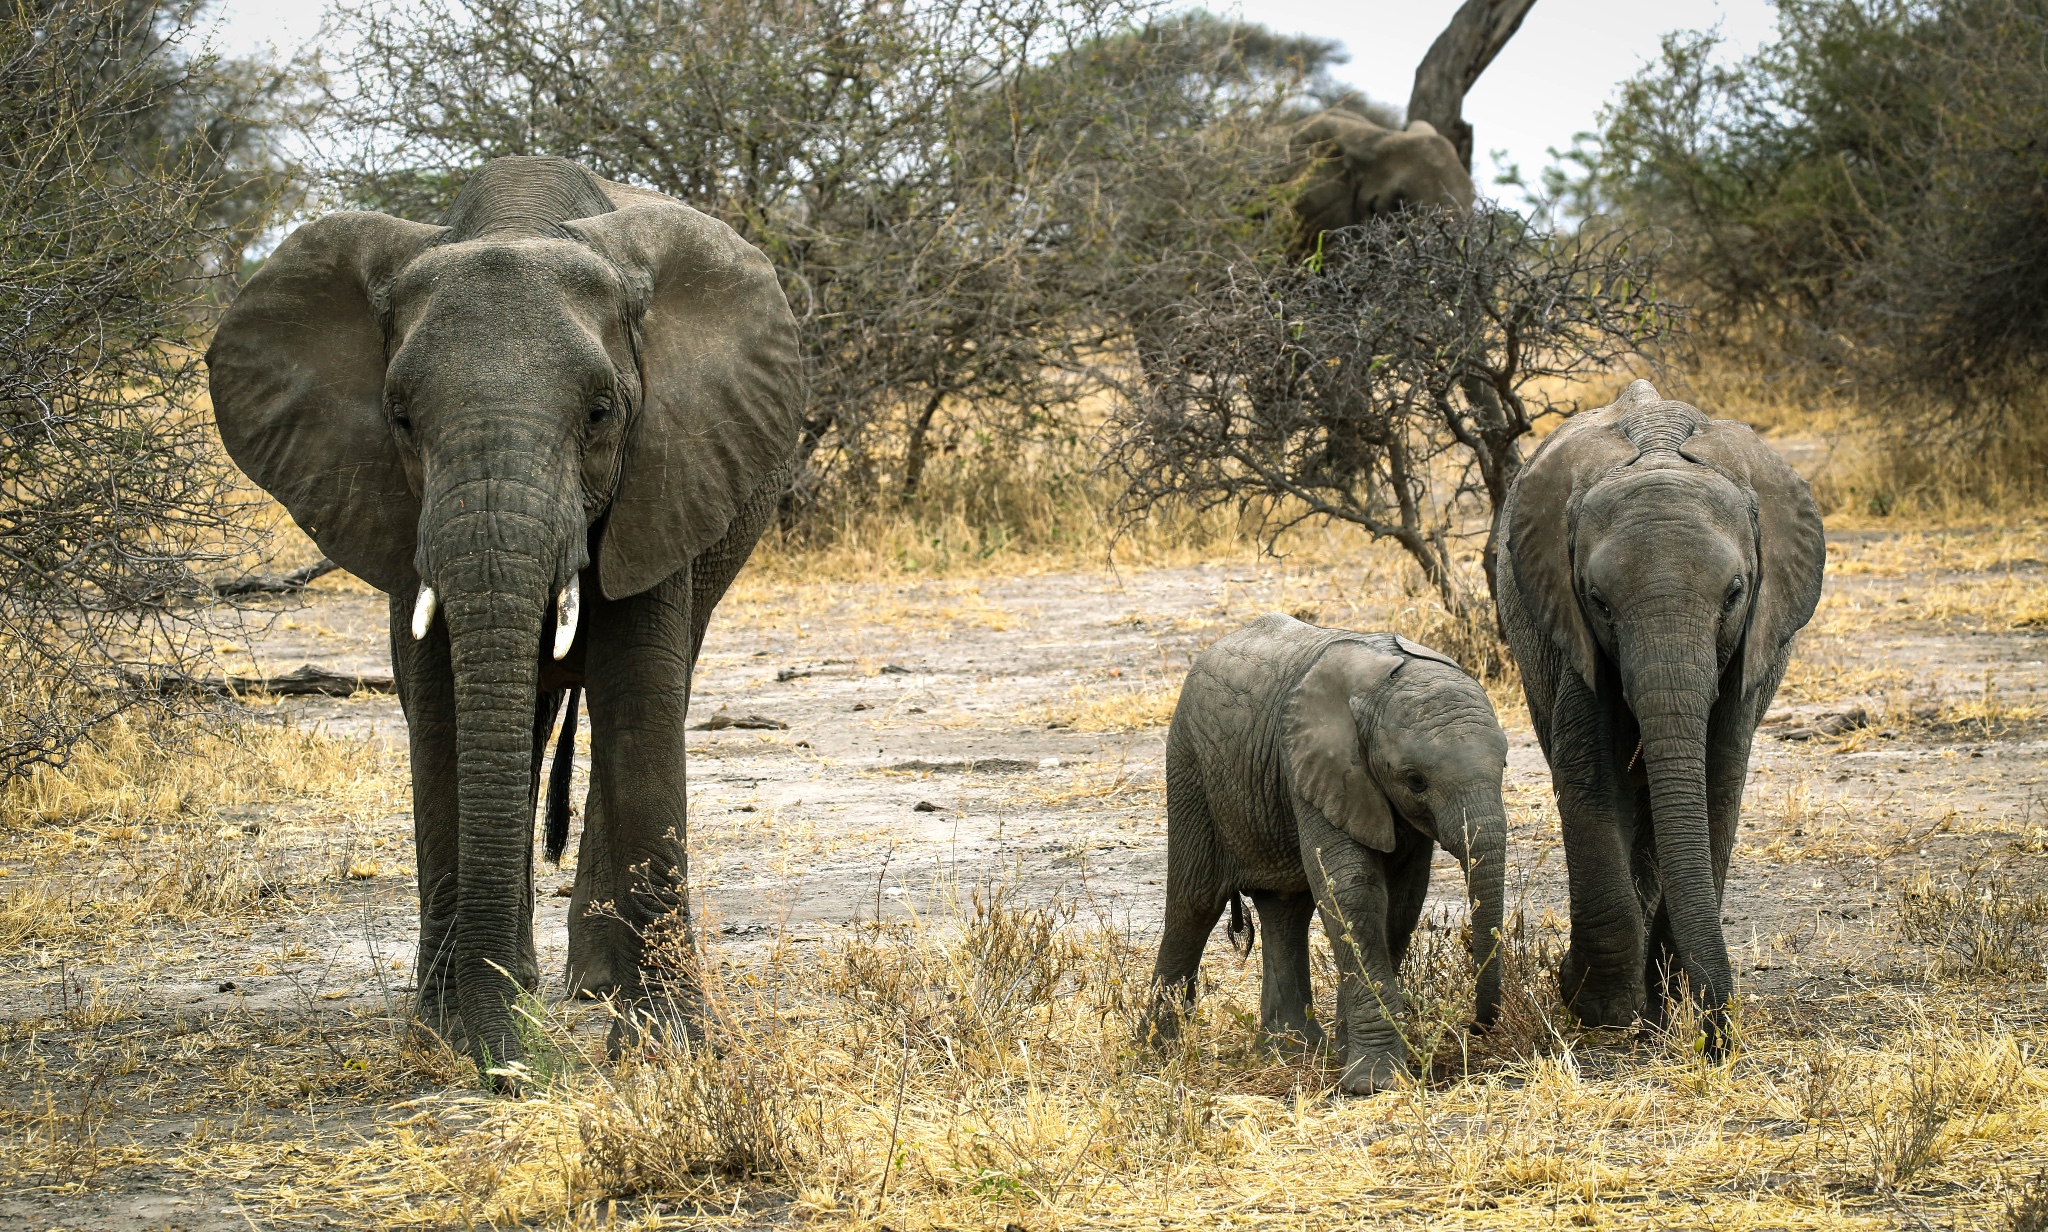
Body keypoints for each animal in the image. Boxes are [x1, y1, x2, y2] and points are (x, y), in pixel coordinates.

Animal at [205, 158, 798, 1072]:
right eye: (401, 418)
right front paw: (449, 1032)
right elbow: (443, 712)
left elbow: (641, 699)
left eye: (600, 414)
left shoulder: (669, 467)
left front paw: (667, 1050)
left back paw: (592, 988)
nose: (512, 1068)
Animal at [1146, 618, 1515, 1088]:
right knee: (1195, 903)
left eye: (1504, 765)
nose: (1476, 1026)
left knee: (1285, 908)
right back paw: (1157, 1053)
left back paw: (1289, 1052)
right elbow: (1353, 888)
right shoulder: (1316, 766)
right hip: (1190, 764)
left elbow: (1402, 899)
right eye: (1415, 781)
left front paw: (1348, 1056)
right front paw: (1374, 1083)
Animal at [1490, 378, 1826, 1047]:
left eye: (1735, 593)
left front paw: (1672, 1006)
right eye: (1599, 601)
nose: (1718, 1042)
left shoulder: (1750, 645)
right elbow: (1592, 772)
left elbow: (1718, 778)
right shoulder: (1574, 634)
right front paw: (1601, 1012)